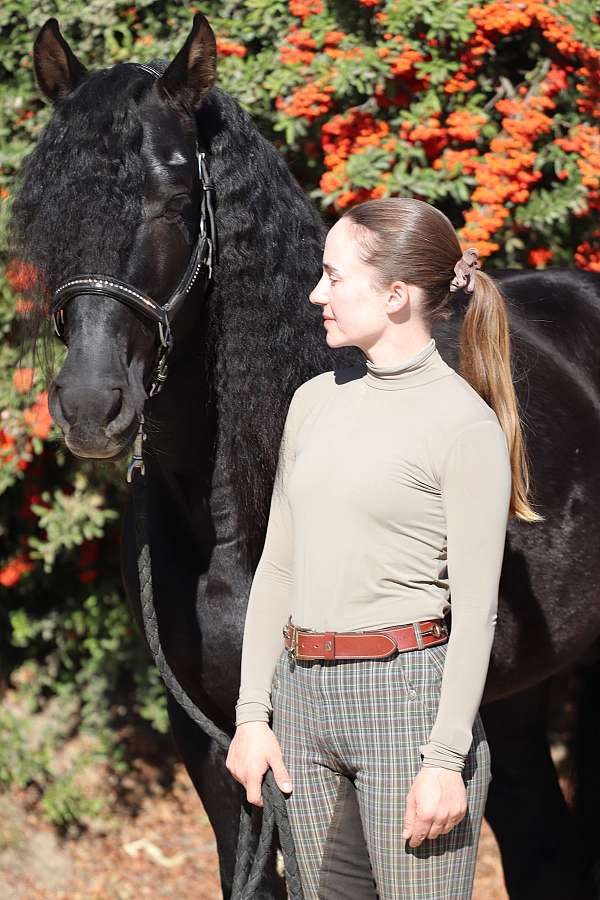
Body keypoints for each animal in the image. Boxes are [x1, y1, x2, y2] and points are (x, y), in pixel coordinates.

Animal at [8, 14, 600, 900]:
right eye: (47, 210)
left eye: (175, 200)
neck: (233, 516)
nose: (89, 405)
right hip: (515, 702)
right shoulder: (215, 744)